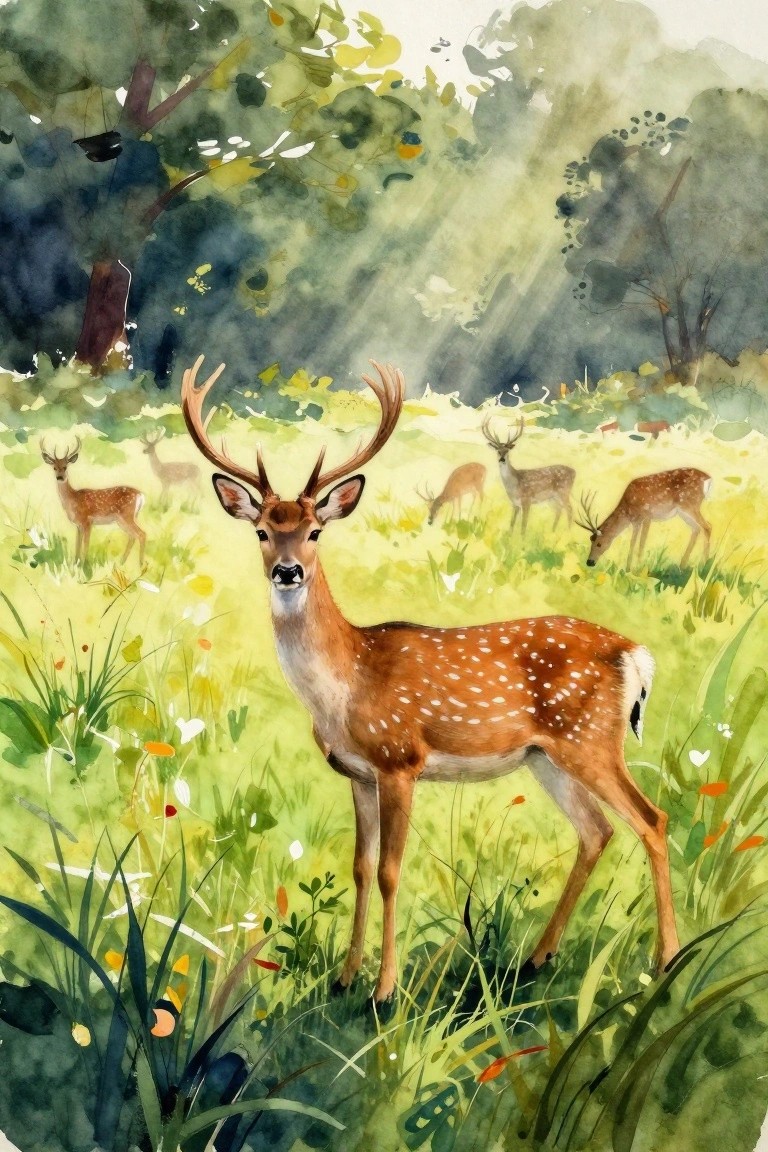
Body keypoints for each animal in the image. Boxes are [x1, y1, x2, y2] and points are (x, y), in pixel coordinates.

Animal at [181, 354, 680, 1006]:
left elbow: (391, 871)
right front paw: (345, 978)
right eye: (263, 530)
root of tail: (636, 654)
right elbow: (359, 867)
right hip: (546, 756)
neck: (346, 683)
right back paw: (537, 959)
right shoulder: (357, 773)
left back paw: (668, 960)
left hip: (591, 739)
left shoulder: (400, 758)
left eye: (315, 531)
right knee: (596, 832)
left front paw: (385, 991)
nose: (288, 571)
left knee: (652, 820)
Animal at [575, 468, 713, 570]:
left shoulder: (647, 516)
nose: (589, 562)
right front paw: (628, 569)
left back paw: (704, 566)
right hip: (683, 512)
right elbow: (633, 543)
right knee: (696, 529)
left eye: (599, 543)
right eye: (590, 540)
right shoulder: (636, 522)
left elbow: (641, 543)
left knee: (707, 526)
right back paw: (682, 566)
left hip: (690, 504)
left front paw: (639, 569)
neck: (627, 508)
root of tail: (708, 478)